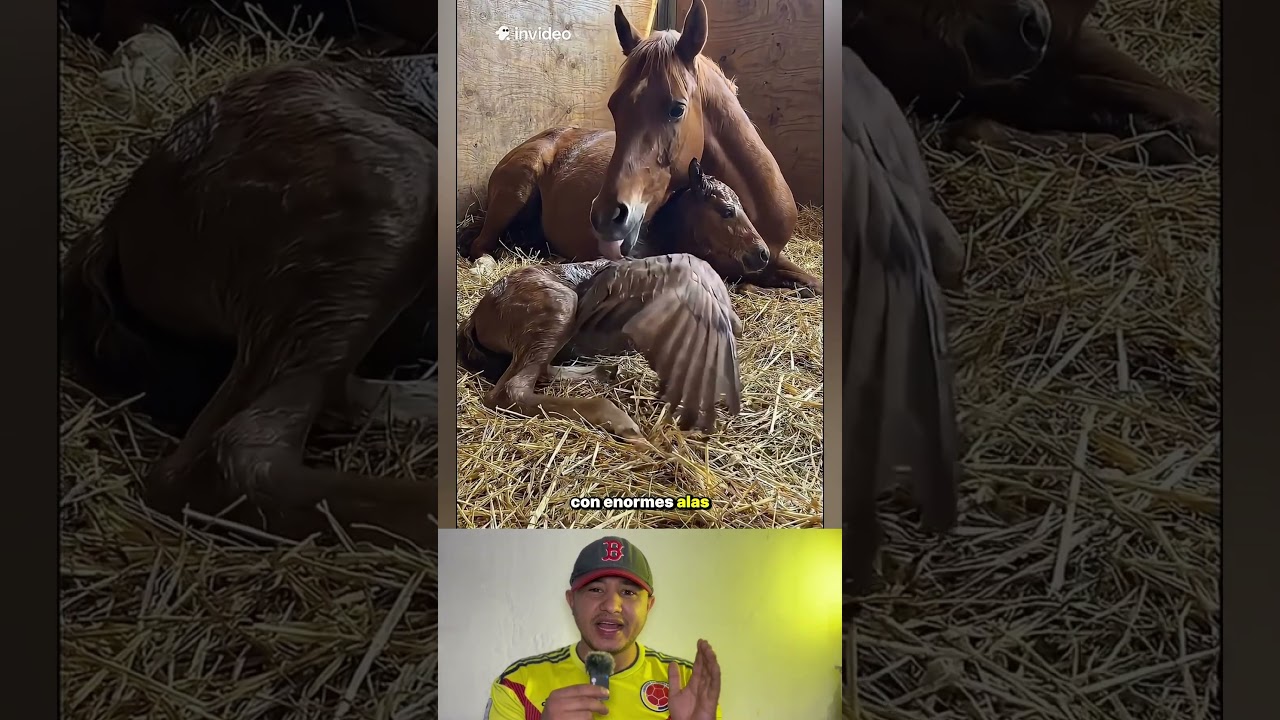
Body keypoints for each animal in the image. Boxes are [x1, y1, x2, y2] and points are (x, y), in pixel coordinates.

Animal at [458, 163, 760, 443]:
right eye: (727, 211)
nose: (762, 254)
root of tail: (476, 317)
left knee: (541, 371)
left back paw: (606, 373)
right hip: (558, 306)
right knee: (512, 390)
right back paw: (619, 419)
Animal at [586, 0, 821, 296]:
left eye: (677, 109)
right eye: (613, 107)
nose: (606, 216)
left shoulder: (776, 258)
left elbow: (814, 284)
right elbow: (749, 285)